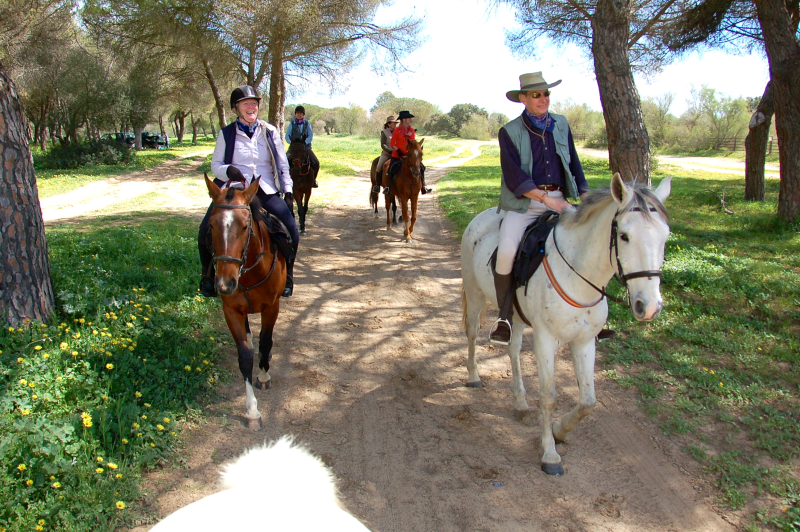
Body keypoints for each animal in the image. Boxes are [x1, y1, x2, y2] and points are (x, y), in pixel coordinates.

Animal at [203, 175, 288, 432]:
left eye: (244, 226)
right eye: (211, 226)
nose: (225, 284)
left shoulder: (272, 307)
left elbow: (266, 343)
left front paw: (263, 376)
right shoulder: (231, 311)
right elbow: (244, 357)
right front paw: (251, 411)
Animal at [460, 174, 672, 474]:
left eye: (665, 236)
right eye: (624, 235)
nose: (650, 306)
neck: (578, 273)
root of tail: (481, 217)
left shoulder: (584, 342)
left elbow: (588, 401)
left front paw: (560, 432)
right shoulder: (546, 340)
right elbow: (549, 396)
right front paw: (549, 454)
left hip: (516, 316)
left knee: (513, 350)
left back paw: (520, 402)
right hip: (475, 293)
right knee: (471, 332)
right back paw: (474, 377)